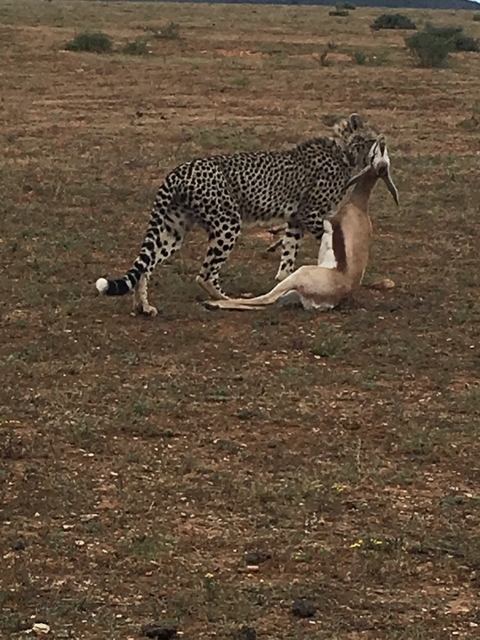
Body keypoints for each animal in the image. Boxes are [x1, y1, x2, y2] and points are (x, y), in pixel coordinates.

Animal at [96, 113, 379, 316]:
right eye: (372, 139)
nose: (382, 144)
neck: (343, 150)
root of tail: (180, 169)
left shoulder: (295, 220)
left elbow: (288, 255)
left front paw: (285, 278)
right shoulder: (311, 213)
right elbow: (326, 240)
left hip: (173, 230)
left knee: (147, 265)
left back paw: (142, 306)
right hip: (228, 222)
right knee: (205, 274)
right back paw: (224, 299)